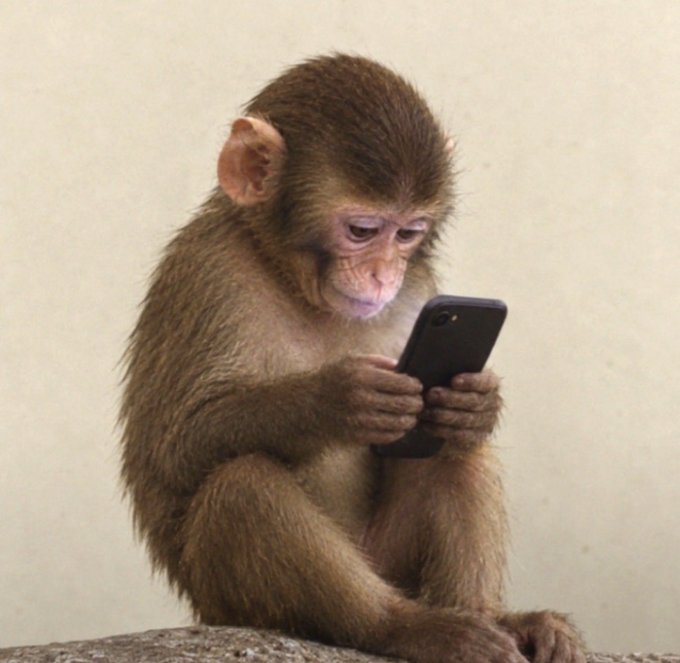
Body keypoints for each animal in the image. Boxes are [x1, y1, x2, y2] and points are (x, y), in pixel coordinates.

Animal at [120, 54, 585, 663]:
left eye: (408, 233)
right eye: (362, 231)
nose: (384, 275)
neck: (291, 279)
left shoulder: (420, 290)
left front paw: (478, 401)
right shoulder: (207, 272)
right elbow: (175, 448)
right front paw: (337, 399)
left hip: (391, 560)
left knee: (453, 450)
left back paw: (494, 617)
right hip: (231, 603)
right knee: (243, 484)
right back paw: (401, 627)